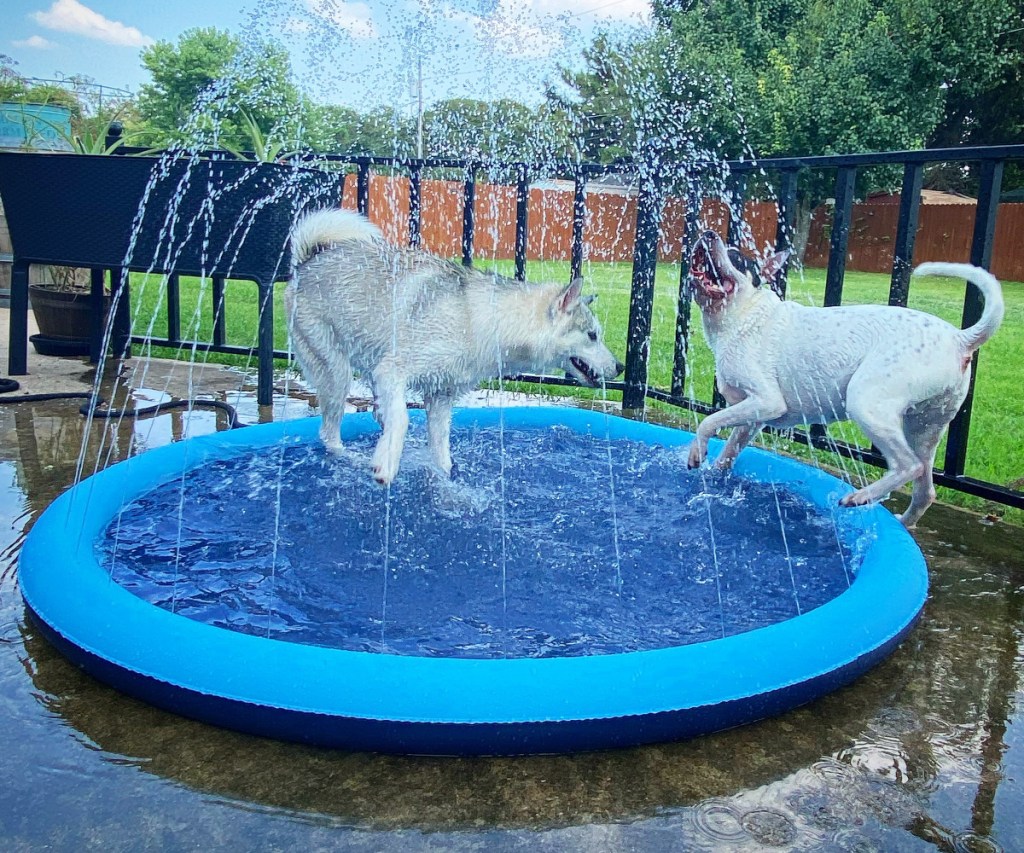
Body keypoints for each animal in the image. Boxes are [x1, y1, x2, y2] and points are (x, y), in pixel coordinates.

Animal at [286, 207, 622, 485]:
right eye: (592, 335)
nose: (619, 367)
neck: (484, 320)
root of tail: (307, 263)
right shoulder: (393, 371)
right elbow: (404, 419)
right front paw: (386, 463)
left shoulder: (441, 397)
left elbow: (440, 452)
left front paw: (447, 484)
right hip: (337, 374)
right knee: (330, 434)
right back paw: (351, 458)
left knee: (376, 413)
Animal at [684, 229, 1003, 528]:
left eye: (736, 258)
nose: (708, 234)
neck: (743, 313)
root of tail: (960, 339)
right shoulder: (752, 416)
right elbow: (730, 449)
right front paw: (716, 476)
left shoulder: (767, 400)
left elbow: (708, 422)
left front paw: (697, 453)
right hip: (924, 428)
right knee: (925, 488)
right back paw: (902, 522)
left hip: (866, 402)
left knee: (908, 466)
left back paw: (861, 496)